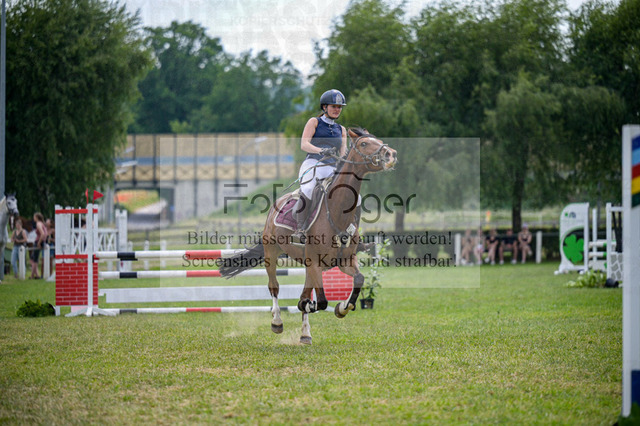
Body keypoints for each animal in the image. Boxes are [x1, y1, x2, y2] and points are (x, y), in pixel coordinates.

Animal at [220, 128, 397, 344]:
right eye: (364, 144)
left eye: (378, 140)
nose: (390, 155)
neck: (336, 212)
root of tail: (277, 203)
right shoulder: (315, 262)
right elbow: (320, 301)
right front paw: (311, 306)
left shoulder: (344, 261)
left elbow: (358, 280)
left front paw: (341, 308)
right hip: (272, 253)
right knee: (274, 287)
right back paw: (277, 322)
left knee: (303, 291)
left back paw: (305, 333)